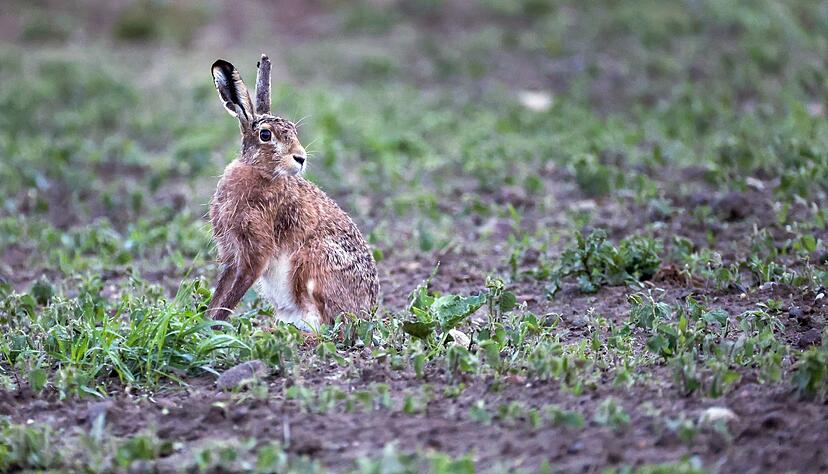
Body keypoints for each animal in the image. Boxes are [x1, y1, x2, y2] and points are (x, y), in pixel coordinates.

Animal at [206, 54, 379, 331]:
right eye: (265, 135)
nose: (301, 158)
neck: (260, 173)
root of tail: (367, 314)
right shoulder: (232, 254)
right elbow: (221, 293)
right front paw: (202, 323)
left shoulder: (256, 252)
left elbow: (232, 297)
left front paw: (212, 329)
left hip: (315, 262)